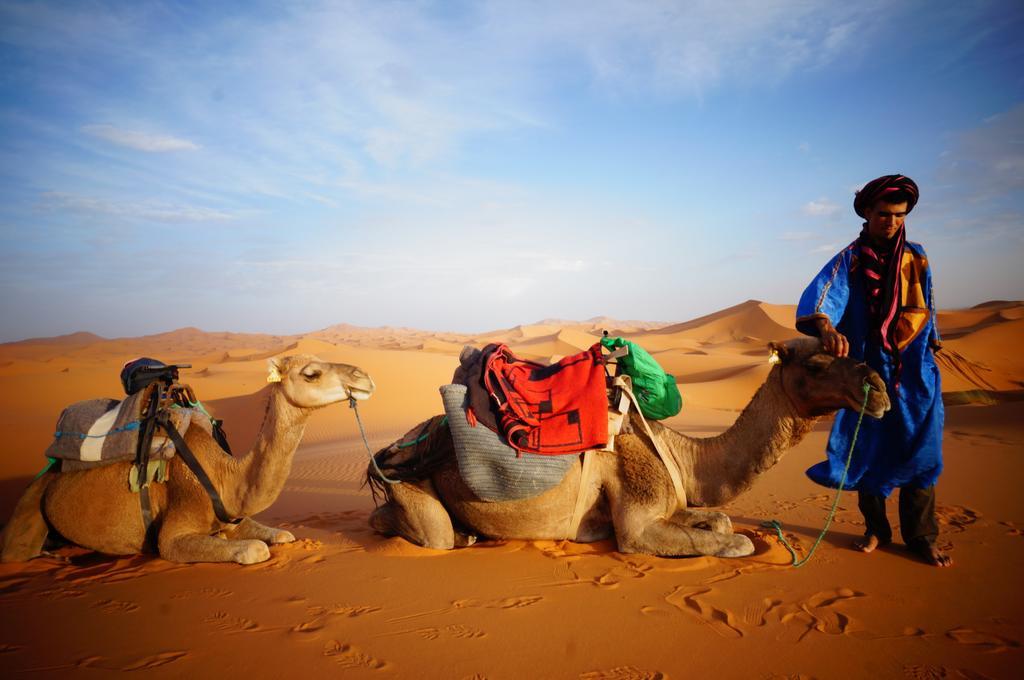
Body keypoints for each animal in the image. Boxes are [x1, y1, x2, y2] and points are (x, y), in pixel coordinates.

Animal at [0, 352, 376, 565]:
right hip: (30, 507)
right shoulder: (174, 531)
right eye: (311, 373)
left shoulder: (231, 516)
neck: (224, 475)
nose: (365, 376)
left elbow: (283, 536)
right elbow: (254, 550)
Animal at [368, 337, 888, 557]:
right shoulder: (638, 522)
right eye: (817, 365)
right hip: (413, 483)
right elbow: (734, 541)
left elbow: (719, 519)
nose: (880, 387)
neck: (682, 455)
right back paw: (461, 538)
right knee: (424, 532)